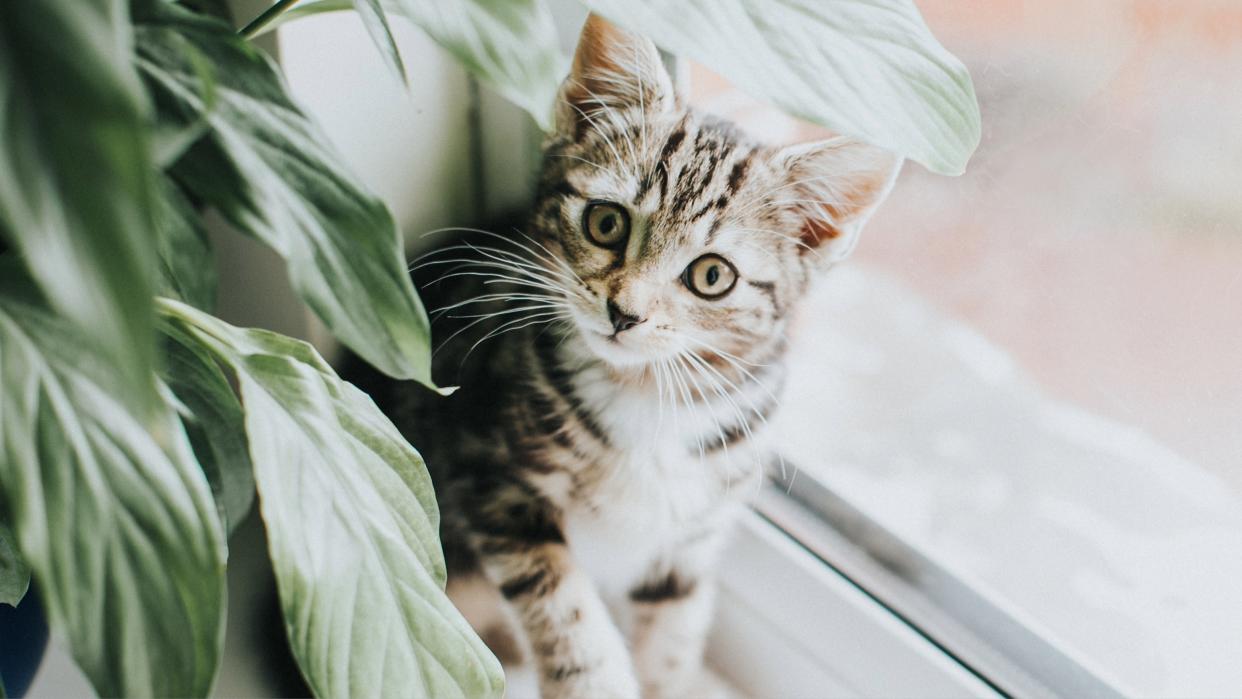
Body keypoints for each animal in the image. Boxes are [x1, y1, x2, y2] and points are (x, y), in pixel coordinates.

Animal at [355, 12, 899, 699]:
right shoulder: (486, 472)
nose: (624, 312)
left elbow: (674, 632)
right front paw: (592, 674)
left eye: (713, 276)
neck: (647, 394)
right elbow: (562, 603)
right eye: (606, 223)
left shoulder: (692, 536)